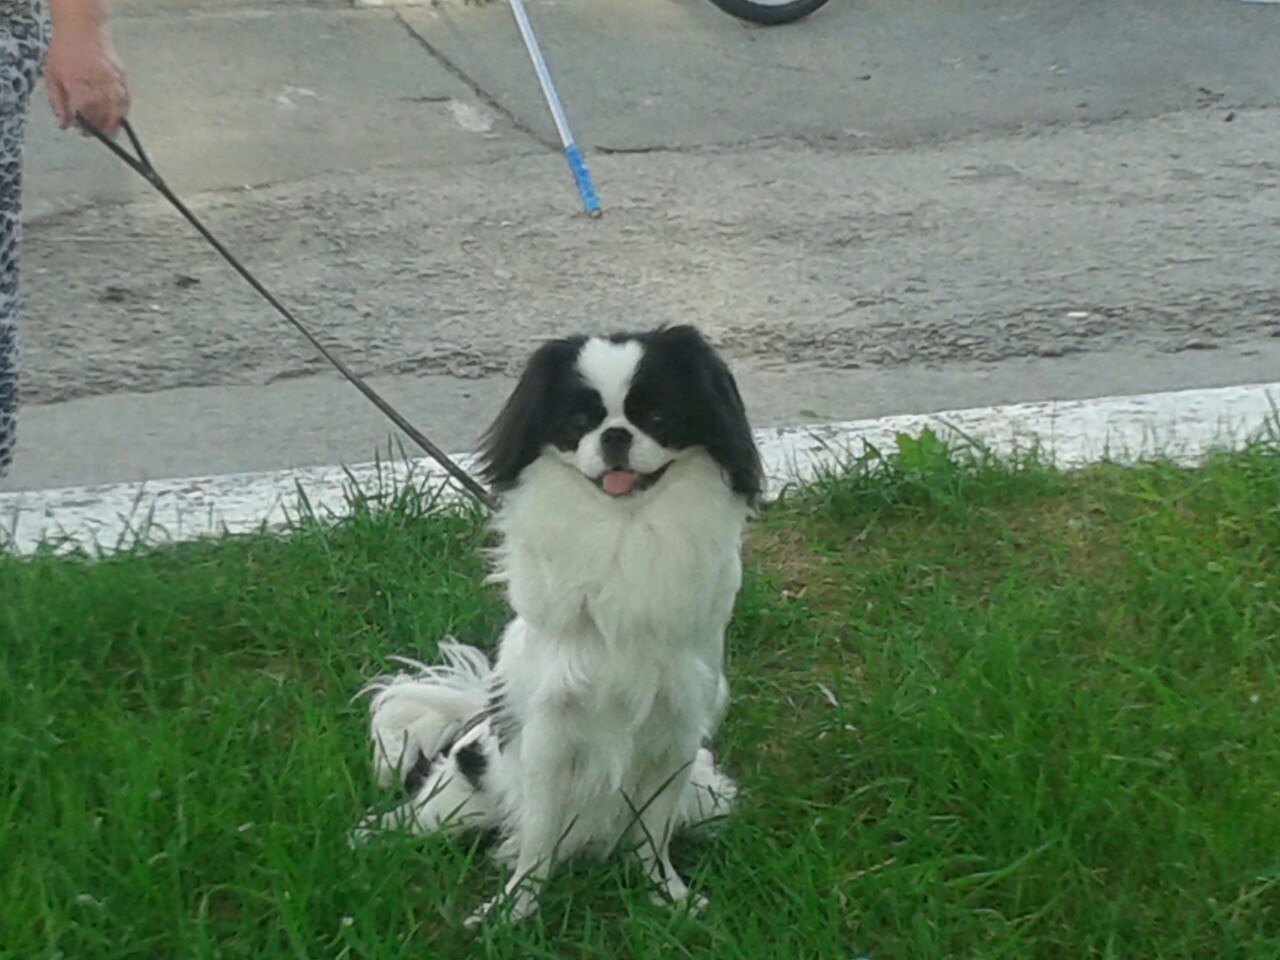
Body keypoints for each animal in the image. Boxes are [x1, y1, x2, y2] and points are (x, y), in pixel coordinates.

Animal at [360, 325, 757, 926]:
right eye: (576, 425)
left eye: (658, 418)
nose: (614, 435)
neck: (624, 531)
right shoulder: (550, 737)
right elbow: (539, 838)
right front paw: (513, 911)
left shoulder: (675, 736)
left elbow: (653, 833)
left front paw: (667, 896)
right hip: (458, 799)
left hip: (706, 797)